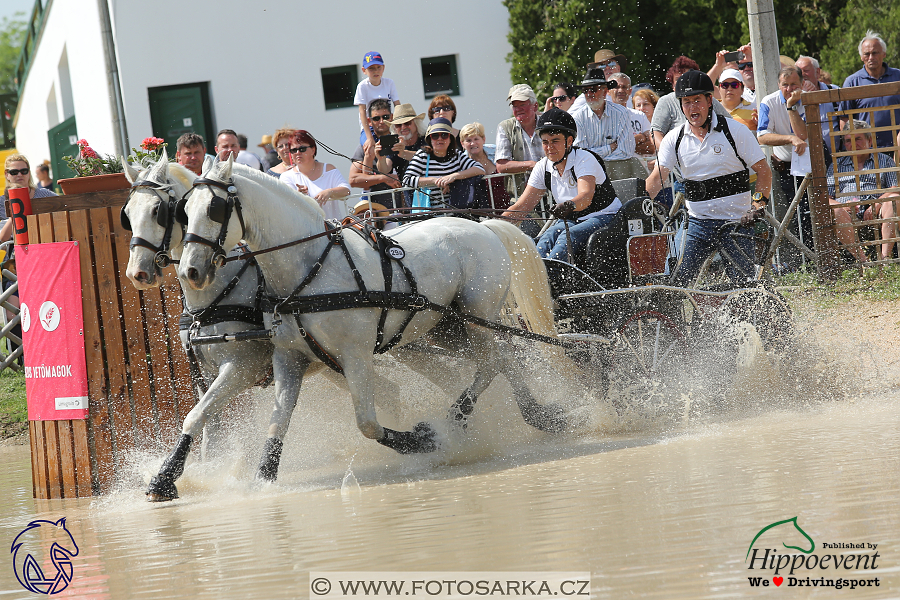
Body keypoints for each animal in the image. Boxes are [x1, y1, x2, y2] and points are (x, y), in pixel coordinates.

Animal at [178, 156, 568, 482]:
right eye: (184, 210)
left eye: (214, 208)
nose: (190, 271)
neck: (309, 268)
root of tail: (483, 225)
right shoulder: (288, 357)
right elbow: (276, 422)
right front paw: (262, 478)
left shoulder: (355, 355)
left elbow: (366, 422)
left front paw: (420, 440)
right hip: (444, 328)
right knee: (502, 358)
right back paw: (536, 415)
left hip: (477, 316)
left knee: (492, 361)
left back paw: (458, 418)